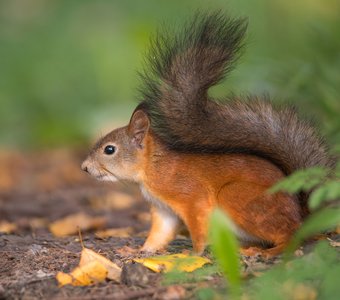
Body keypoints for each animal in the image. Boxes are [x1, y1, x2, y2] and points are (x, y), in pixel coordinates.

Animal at [81, 12, 334, 258]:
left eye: (109, 149)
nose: (84, 167)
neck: (152, 167)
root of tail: (302, 216)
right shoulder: (163, 210)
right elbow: (159, 234)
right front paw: (139, 250)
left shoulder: (191, 197)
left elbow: (197, 227)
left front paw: (193, 254)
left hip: (238, 197)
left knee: (290, 235)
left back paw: (273, 250)